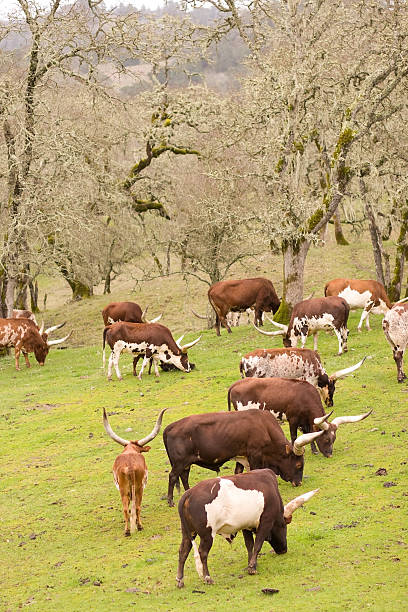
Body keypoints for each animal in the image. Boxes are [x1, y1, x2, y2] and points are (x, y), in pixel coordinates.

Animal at [103, 408, 167, 536]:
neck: (131, 450)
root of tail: (130, 466)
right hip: (139, 488)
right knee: (137, 507)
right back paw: (139, 526)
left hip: (123, 490)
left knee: (125, 508)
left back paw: (127, 531)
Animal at [162, 406, 322, 506]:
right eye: (298, 465)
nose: (298, 483)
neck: (265, 427)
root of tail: (170, 427)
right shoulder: (255, 455)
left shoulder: (241, 456)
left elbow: (238, 472)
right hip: (179, 462)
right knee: (173, 476)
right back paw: (170, 501)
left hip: (186, 463)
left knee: (184, 477)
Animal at [176, 470, 318, 584]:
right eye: (284, 525)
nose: (283, 549)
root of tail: (189, 493)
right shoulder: (266, 522)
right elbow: (258, 544)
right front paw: (252, 568)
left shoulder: (245, 526)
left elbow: (250, 545)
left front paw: (252, 565)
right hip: (207, 534)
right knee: (203, 552)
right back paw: (207, 577)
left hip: (188, 533)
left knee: (183, 551)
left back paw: (180, 580)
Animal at [228, 378, 372, 460]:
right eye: (326, 439)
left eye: (334, 439)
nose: (329, 454)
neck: (304, 396)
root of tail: (235, 384)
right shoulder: (293, 419)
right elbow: (294, 436)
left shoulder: (306, 422)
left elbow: (310, 434)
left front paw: (314, 450)